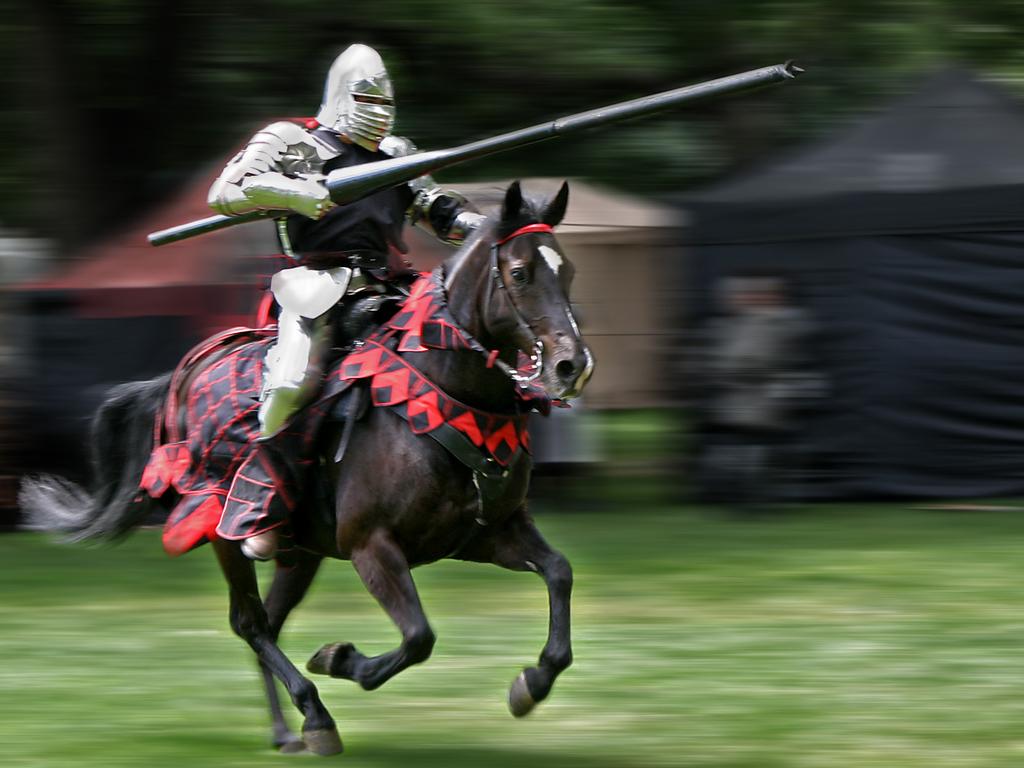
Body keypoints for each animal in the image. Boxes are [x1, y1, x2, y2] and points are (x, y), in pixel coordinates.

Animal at [22, 182, 593, 757]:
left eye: (567, 270)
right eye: (519, 273)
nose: (571, 366)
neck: (445, 393)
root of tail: (188, 371)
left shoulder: (486, 534)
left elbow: (559, 573)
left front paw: (532, 682)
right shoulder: (372, 547)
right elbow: (418, 638)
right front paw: (339, 659)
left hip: (300, 553)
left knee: (269, 623)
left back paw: (287, 730)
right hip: (224, 531)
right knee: (251, 622)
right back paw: (313, 715)